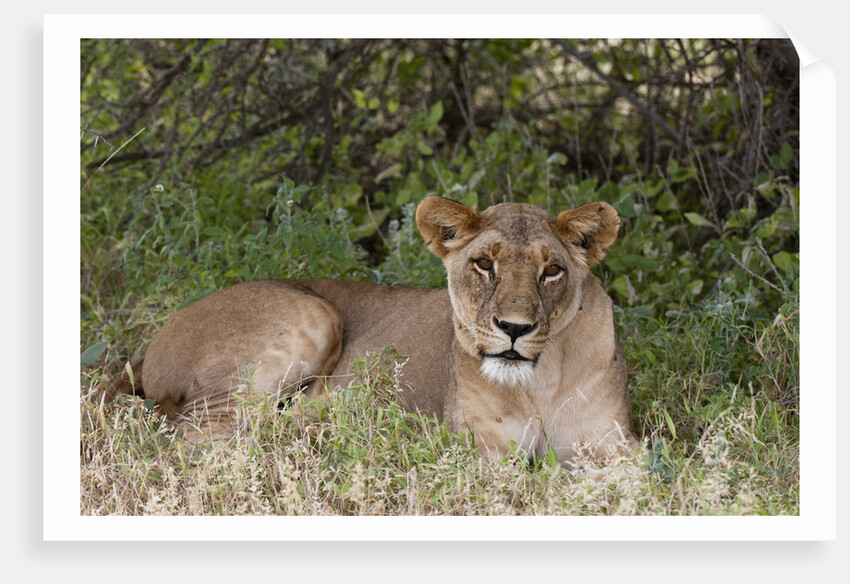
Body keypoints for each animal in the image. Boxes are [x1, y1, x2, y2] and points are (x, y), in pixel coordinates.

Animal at [115, 195, 638, 465]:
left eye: (551, 271)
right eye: (485, 265)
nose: (514, 328)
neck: (538, 383)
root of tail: (151, 344)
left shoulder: (613, 444)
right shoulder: (478, 448)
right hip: (313, 315)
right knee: (201, 436)